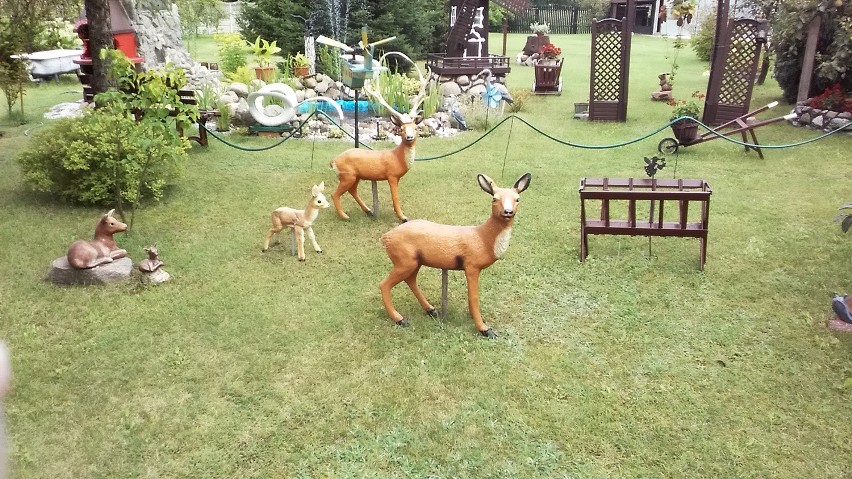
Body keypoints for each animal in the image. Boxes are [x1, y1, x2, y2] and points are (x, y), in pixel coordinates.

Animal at [332, 54, 430, 223]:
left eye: (416, 128)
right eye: (401, 129)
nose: (409, 137)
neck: (397, 157)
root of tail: (333, 162)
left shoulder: (396, 177)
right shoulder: (391, 175)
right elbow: (395, 197)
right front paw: (403, 217)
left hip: (354, 176)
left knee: (352, 191)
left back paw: (369, 211)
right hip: (347, 175)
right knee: (335, 194)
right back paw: (345, 216)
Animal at [382, 172, 532, 338]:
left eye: (517, 199)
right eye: (494, 198)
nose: (508, 212)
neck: (483, 238)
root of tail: (385, 237)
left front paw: (474, 317)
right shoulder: (472, 266)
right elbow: (474, 296)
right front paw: (485, 329)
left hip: (414, 262)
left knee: (410, 280)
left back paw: (431, 310)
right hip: (404, 262)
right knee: (384, 284)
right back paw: (401, 319)